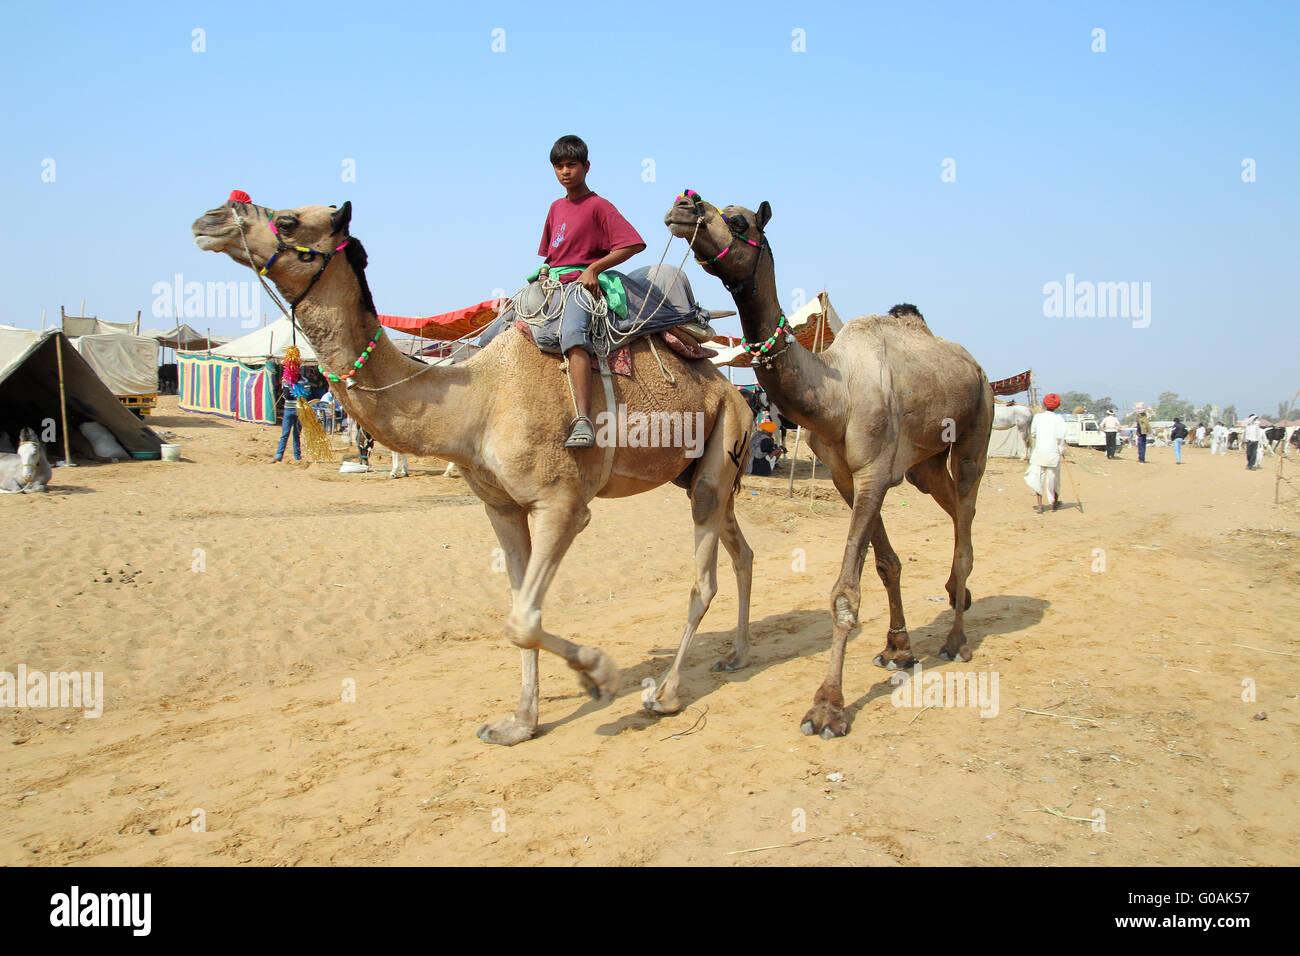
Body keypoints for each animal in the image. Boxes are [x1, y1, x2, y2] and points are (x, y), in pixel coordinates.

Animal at [193, 197, 756, 744]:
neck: (478, 402)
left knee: (702, 579)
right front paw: (519, 724)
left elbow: (522, 619)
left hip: (724, 439)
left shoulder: (562, 503)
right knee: (741, 550)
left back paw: (666, 695)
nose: (211, 218)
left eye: (287, 220)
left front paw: (598, 674)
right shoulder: (501, 507)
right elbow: (520, 609)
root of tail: (732, 390)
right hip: (704, 468)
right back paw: (736, 654)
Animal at [666, 191, 994, 739]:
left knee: (967, 505)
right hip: (924, 464)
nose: (682, 205)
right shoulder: (847, 477)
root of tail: (977, 367)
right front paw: (897, 649)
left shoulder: (874, 472)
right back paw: (955, 594)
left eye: (740, 221)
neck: (835, 393)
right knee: (950, 504)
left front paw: (828, 707)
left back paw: (956, 638)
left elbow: (845, 590)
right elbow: (886, 564)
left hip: (977, 425)